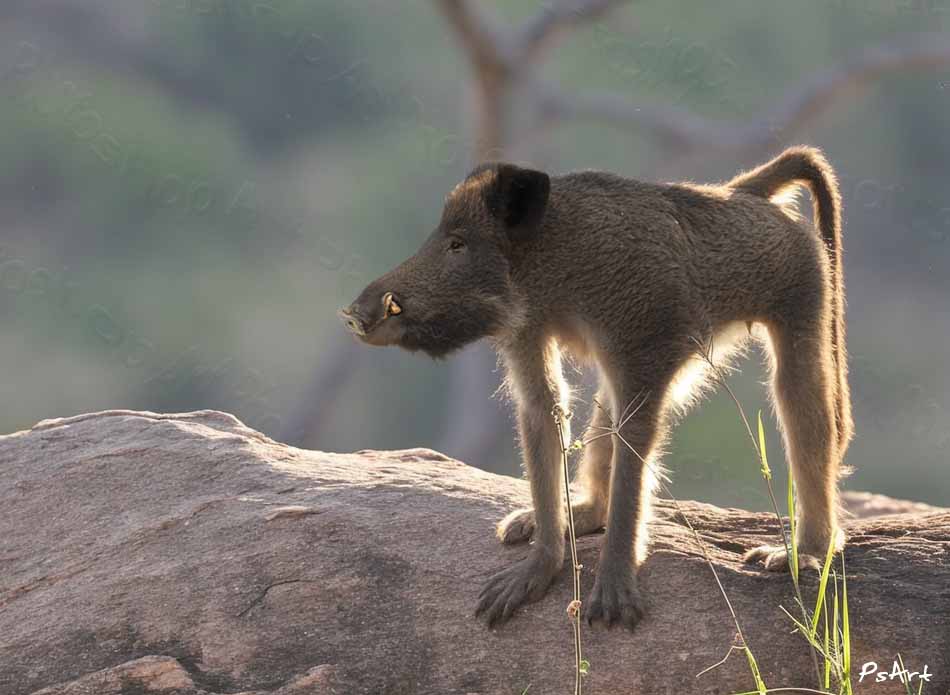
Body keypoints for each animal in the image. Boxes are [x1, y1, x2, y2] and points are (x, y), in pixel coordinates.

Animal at [339, 145, 853, 630]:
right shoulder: (525, 325)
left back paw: (807, 551)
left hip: (802, 282)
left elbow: (635, 433)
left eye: (457, 243)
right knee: (608, 407)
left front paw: (614, 590)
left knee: (797, 393)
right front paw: (539, 568)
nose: (357, 312)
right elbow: (544, 407)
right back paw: (584, 515)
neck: (555, 256)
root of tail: (740, 193)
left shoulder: (644, 333)